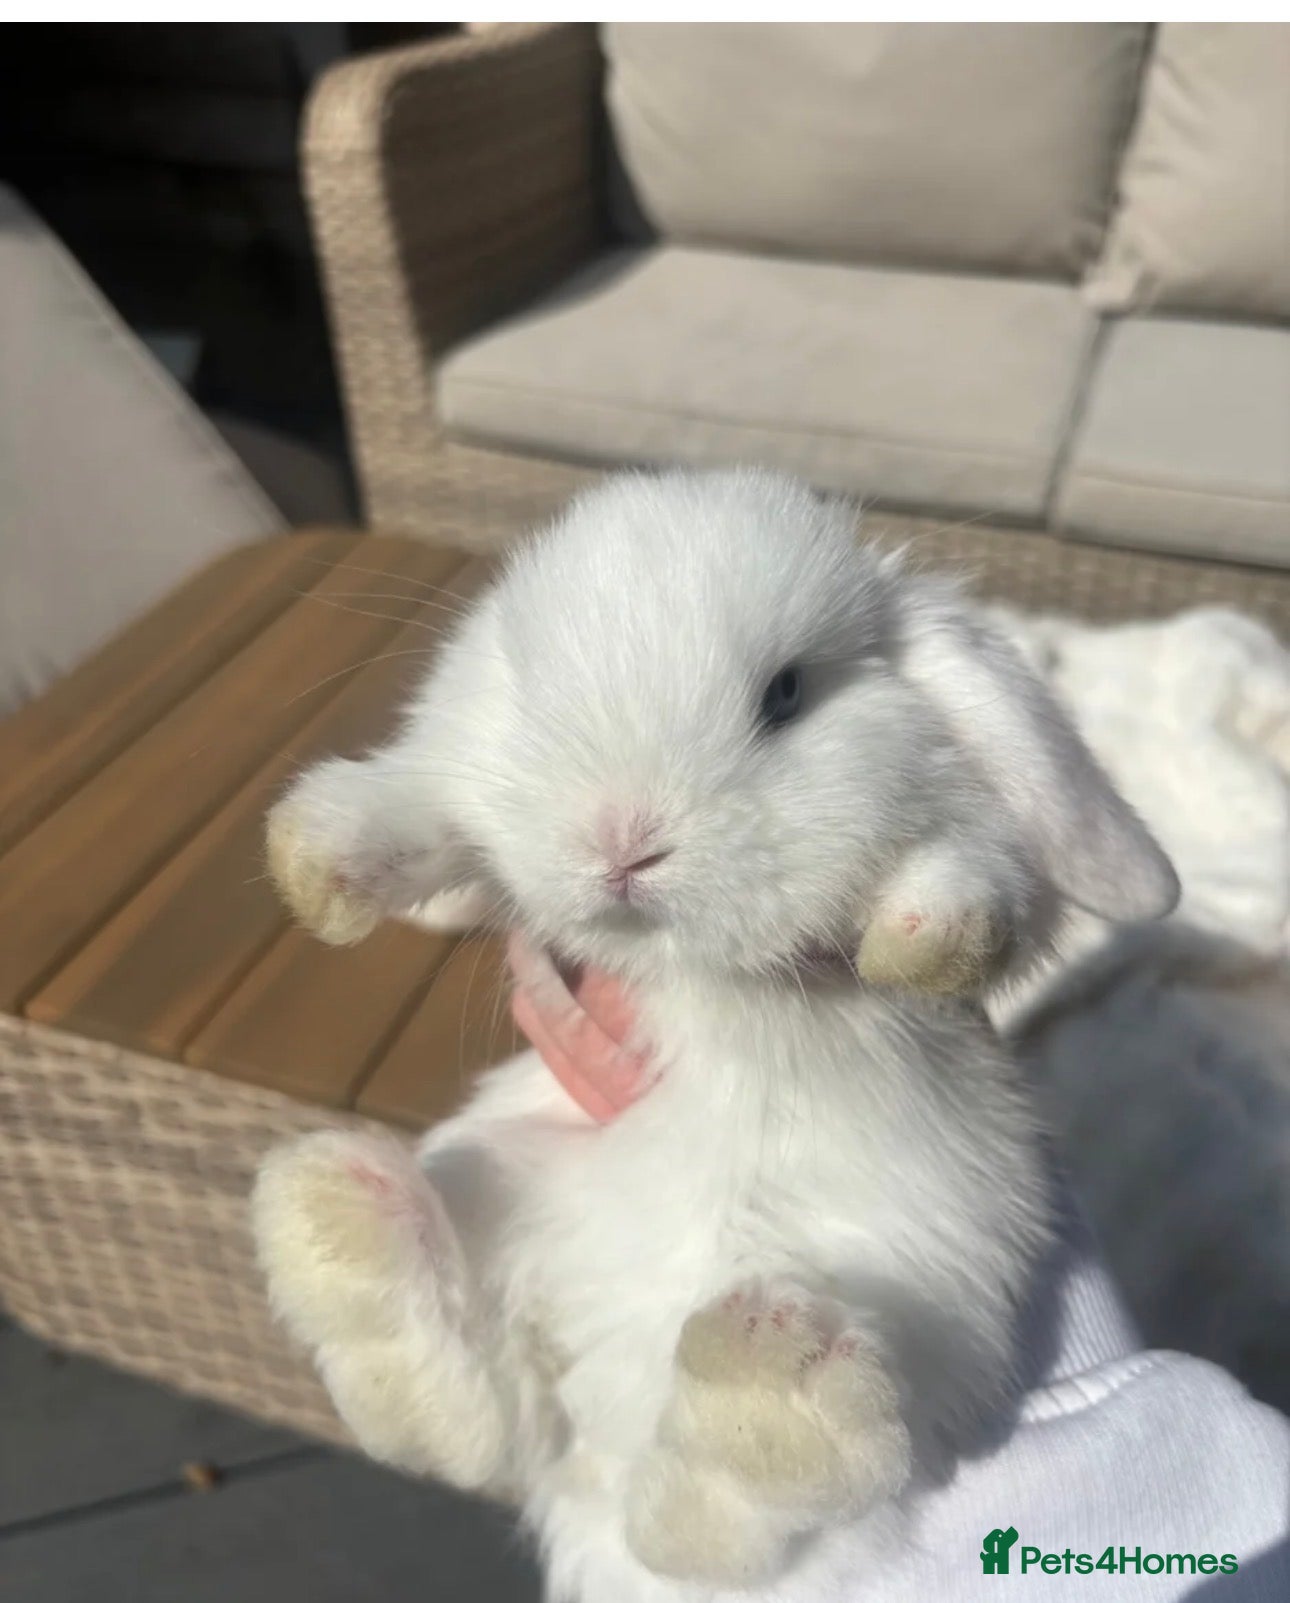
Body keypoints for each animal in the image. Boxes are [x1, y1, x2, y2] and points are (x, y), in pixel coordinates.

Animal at [251, 469, 1178, 1603]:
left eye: (784, 695)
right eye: (530, 681)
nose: (622, 840)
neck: (691, 970)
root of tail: (602, 1465)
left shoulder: (998, 868)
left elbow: (985, 874)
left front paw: (920, 938)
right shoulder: (458, 801)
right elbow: (427, 809)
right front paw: (315, 861)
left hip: (928, 1293)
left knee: (714, 1519)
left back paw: (768, 1389)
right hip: (497, 1174)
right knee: (479, 1423)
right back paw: (344, 1223)